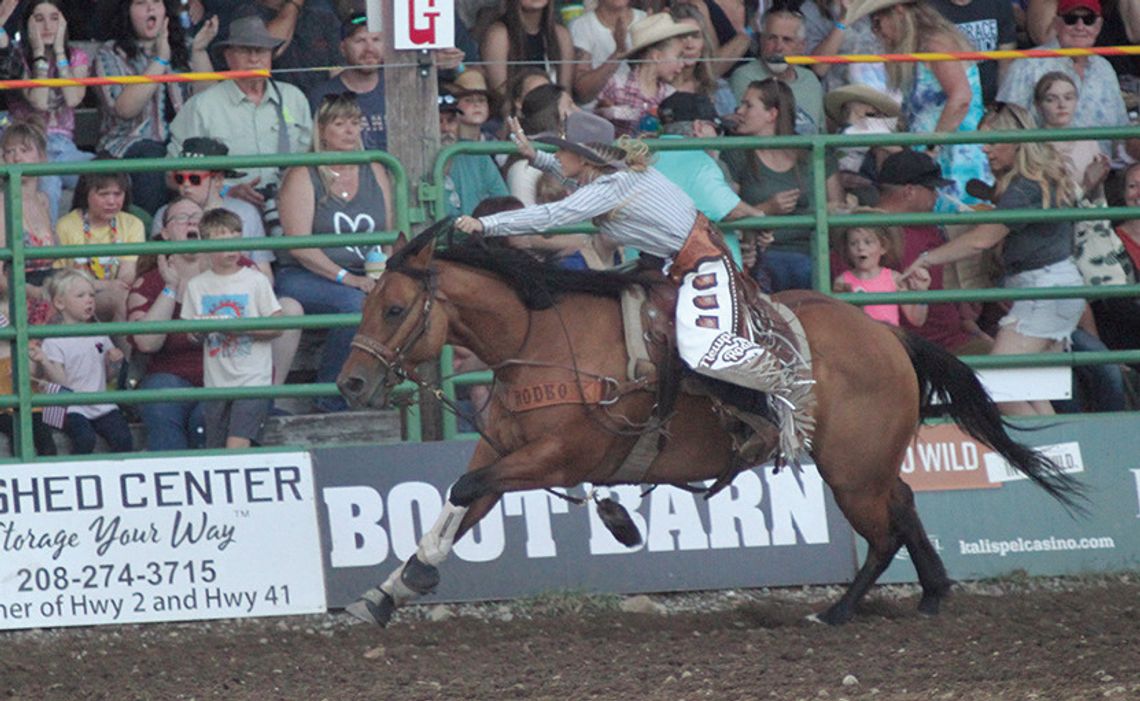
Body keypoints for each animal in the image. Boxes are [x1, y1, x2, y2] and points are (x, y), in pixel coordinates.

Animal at [332, 227, 1080, 629]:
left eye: (394, 308)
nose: (350, 384)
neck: (540, 337)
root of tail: (888, 337)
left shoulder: (558, 456)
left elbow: (464, 489)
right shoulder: (507, 449)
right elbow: (460, 500)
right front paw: (388, 592)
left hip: (851, 472)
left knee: (884, 531)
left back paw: (838, 610)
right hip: (865, 464)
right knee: (905, 504)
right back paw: (931, 593)